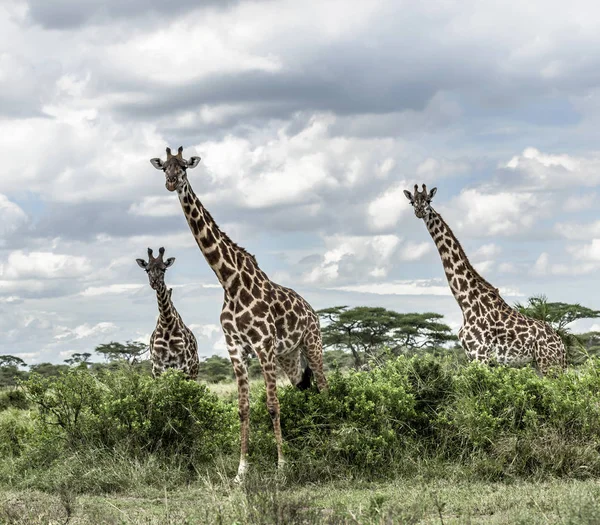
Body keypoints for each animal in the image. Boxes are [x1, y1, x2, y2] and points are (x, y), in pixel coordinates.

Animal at [136, 248, 199, 378]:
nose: (154, 282)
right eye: (147, 269)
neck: (167, 322)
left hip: (193, 372)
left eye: (164, 269)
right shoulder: (157, 368)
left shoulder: (182, 366)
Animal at [149, 146, 328, 478]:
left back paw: (328, 436)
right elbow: (243, 408)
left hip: (312, 343)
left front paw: (281, 466)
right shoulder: (235, 348)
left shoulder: (263, 345)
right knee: (306, 389)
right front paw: (241, 471)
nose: (171, 182)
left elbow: (272, 405)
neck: (229, 281)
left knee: (323, 387)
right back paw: (314, 437)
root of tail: (312, 311)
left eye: (184, 166)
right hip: (290, 356)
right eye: (164, 166)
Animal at [406, 184, 564, 372]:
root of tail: (562, 345)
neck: (465, 303)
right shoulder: (471, 356)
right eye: (412, 201)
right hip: (542, 364)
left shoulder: (480, 354)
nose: (419, 210)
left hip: (548, 363)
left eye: (429, 200)